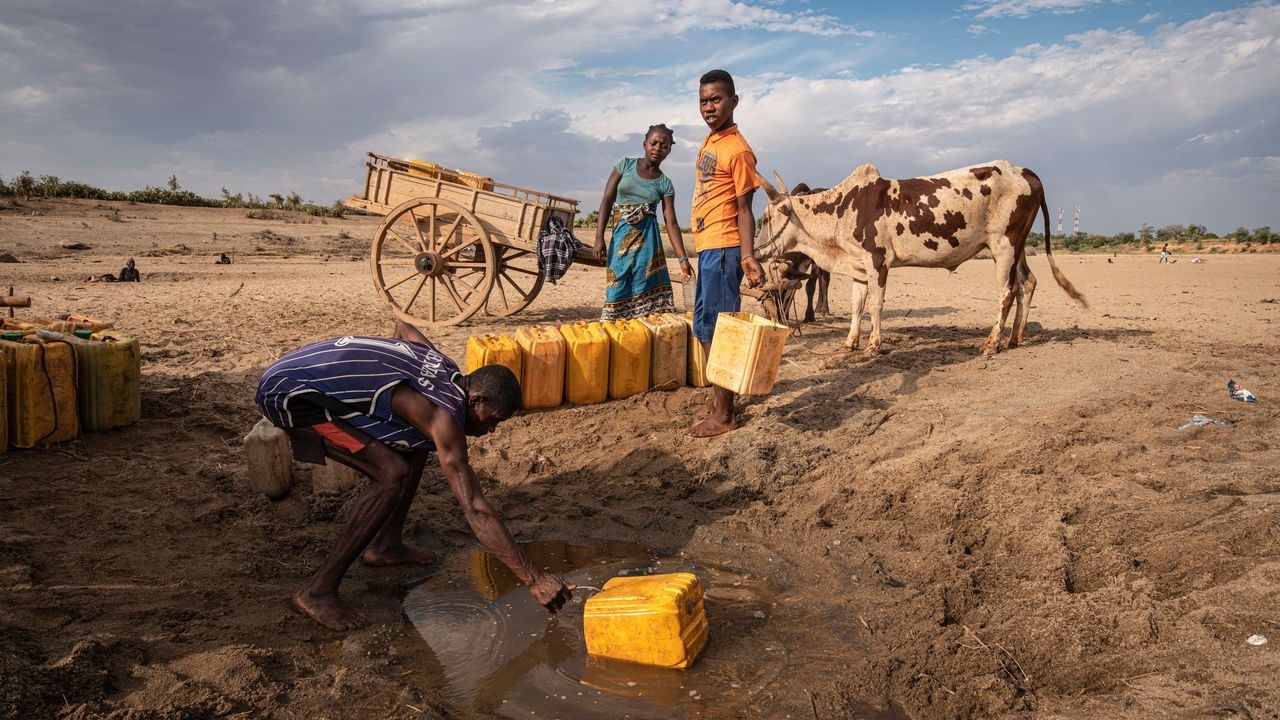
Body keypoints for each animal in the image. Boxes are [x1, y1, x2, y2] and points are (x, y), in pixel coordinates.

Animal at [752, 160, 1085, 356]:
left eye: (766, 218)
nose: (755, 251)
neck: (844, 208)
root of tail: (1025, 172)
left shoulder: (877, 262)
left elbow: (875, 305)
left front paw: (874, 344)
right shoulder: (859, 266)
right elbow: (857, 305)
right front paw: (850, 343)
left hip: (1005, 246)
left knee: (1007, 292)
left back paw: (992, 343)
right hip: (1016, 248)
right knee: (1028, 283)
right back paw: (1015, 338)